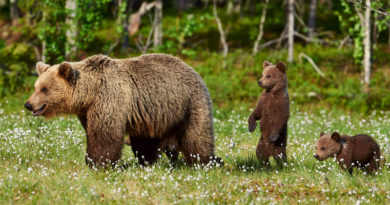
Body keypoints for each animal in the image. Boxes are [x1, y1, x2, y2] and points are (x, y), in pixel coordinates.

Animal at [25, 54, 216, 168]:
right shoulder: (87, 111)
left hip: (190, 103)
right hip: (154, 115)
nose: (28, 104)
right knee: (146, 141)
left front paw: (97, 163)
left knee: (197, 136)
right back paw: (147, 162)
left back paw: (204, 162)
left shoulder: (109, 98)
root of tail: (193, 70)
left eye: (44, 89)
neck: (90, 93)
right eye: (35, 87)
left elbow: (104, 134)